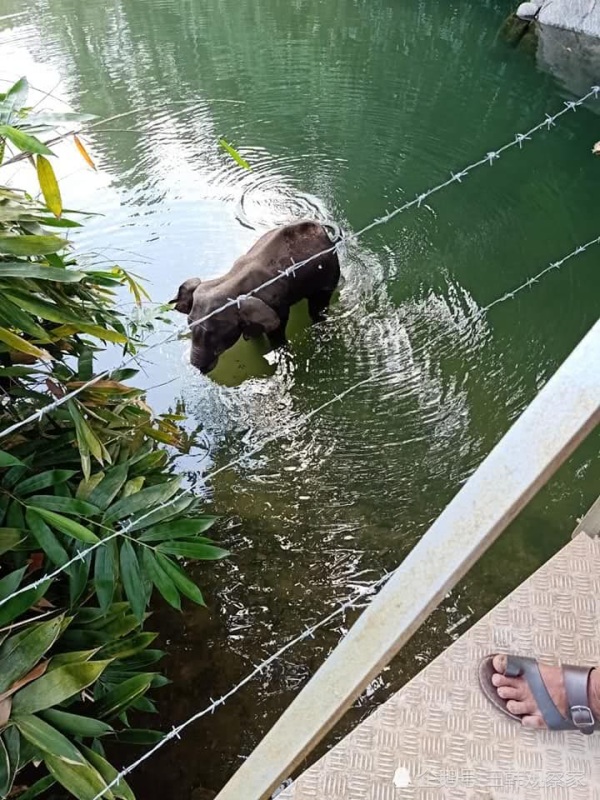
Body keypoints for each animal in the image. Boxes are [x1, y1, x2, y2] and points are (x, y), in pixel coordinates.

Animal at [173, 220, 342, 374]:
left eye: (212, 333)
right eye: (189, 324)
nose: (199, 369)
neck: (230, 280)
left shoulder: (277, 305)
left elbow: (277, 330)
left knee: (317, 308)